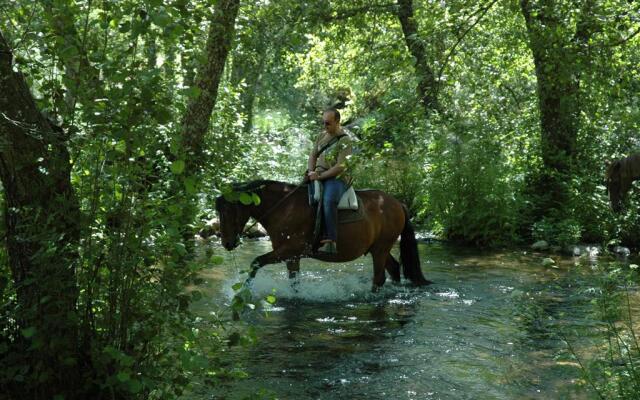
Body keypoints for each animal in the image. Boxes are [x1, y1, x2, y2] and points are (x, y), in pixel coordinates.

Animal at [215, 180, 430, 290]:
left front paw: (242, 294)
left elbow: (256, 262)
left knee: (379, 278)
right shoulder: (291, 256)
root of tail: (398, 203)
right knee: (393, 268)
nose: (227, 243)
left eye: (228, 211)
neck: (284, 207)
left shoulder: (289, 250)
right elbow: (294, 281)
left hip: (380, 248)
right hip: (379, 248)